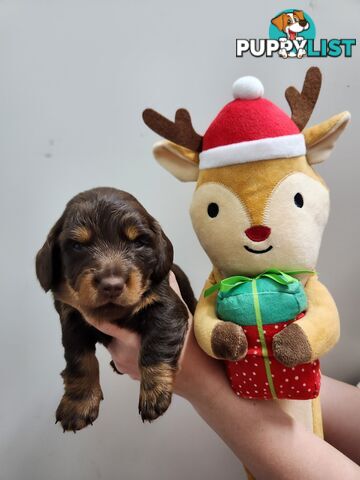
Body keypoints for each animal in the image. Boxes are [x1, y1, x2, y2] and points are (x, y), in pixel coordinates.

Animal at [35, 188, 197, 432]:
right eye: (77, 245)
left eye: (138, 242)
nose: (112, 285)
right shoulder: (71, 318)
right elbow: (79, 360)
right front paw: (78, 404)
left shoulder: (167, 307)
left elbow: (156, 346)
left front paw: (154, 394)